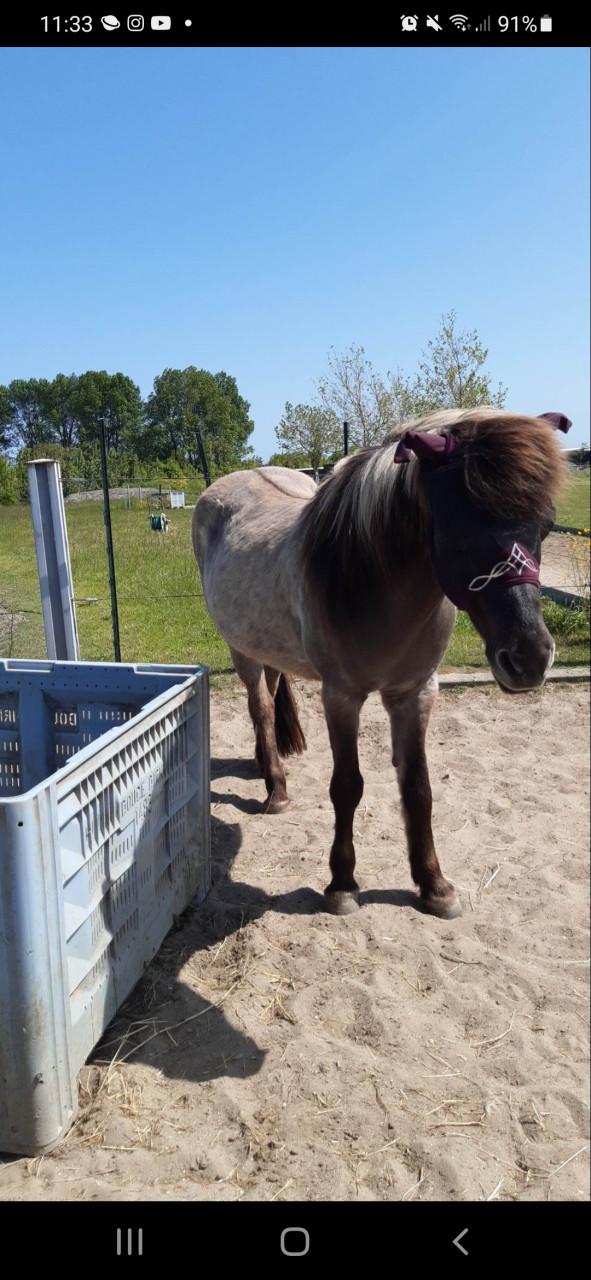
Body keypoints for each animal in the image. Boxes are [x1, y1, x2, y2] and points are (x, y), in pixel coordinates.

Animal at [192, 408, 570, 920]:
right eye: (462, 528)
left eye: (546, 526)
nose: (529, 658)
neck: (372, 580)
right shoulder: (341, 697)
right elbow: (347, 786)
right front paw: (342, 884)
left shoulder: (415, 694)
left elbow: (418, 789)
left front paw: (434, 885)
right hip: (241, 650)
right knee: (262, 709)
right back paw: (276, 789)